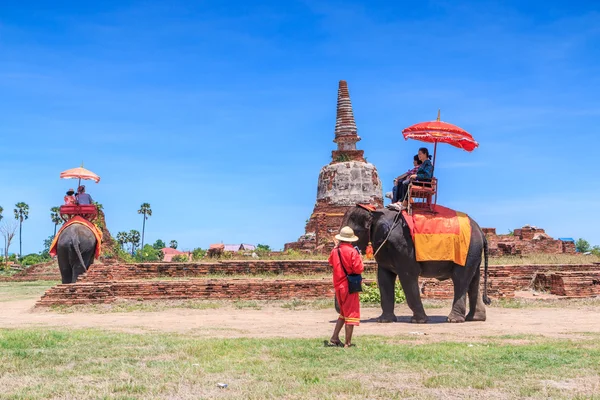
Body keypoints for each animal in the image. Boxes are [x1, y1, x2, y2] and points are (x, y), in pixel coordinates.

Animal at [342, 208, 492, 324]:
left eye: (355, 232)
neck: (374, 212)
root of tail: (481, 231)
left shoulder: (403, 246)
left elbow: (408, 275)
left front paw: (418, 321)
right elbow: (384, 278)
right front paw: (384, 320)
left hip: (468, 251)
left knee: (460, 279)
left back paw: (454, 320)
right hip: (474, 253)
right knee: (473, 280)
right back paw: (475, 318)